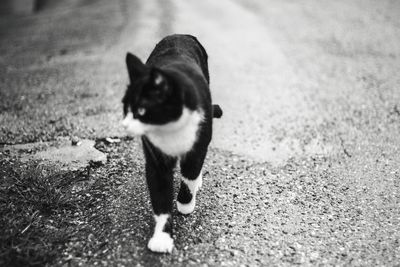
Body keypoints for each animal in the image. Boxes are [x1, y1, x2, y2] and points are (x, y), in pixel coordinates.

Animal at [122, 34, 222, 254]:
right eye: (125, 108)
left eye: (141, 111)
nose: (124, 125)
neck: (169, 129)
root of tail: (181, 35)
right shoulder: (155, 159)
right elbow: (160, 196)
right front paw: (162, 238)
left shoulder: (197, 146)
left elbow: (189, 174)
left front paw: (185, 204)